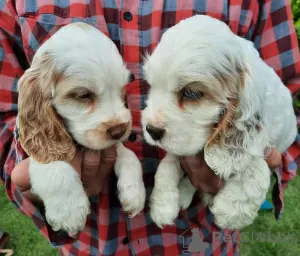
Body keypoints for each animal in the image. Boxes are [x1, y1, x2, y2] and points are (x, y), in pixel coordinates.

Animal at [17, 22, 146, 234]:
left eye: (121, 90)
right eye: (84, 95)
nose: (120, 130)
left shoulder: (111, 144)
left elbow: (129, 156)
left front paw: (134, 194)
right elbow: (54, 164)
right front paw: (68, 211)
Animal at [142, 15, 298, 229]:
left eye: (191, 93)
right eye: (152, 86)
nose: (151, 130)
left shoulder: (262, 140)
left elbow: (255, 163)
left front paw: (231, 211)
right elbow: (168, 163)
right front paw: (162, 205)